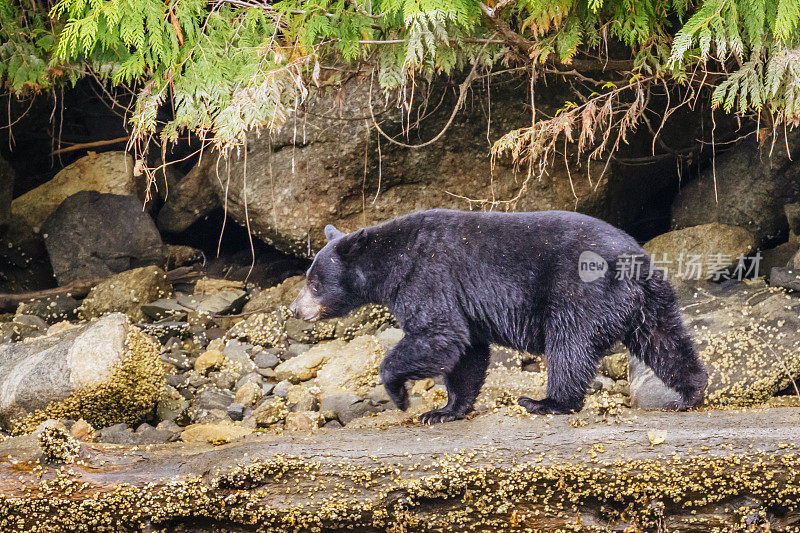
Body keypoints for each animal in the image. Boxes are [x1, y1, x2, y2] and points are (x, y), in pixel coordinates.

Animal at [290, 208, 708, 424]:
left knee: (569, 344)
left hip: (579, 292)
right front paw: (445, 410)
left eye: (314, 282)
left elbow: (439, 334)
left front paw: (403, 398)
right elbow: (466, 351)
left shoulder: (427, 276)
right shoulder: (460, 301)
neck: (392, 260)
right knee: (664, 339)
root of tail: (634, 261)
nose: (295, 308)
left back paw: (547, 402)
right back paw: (689, 393)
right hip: (649, 300)